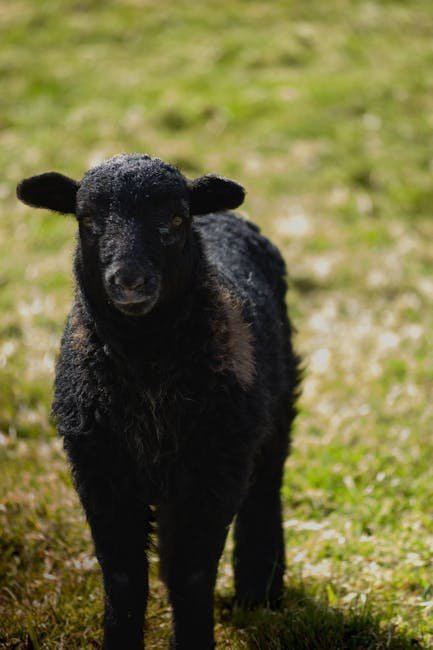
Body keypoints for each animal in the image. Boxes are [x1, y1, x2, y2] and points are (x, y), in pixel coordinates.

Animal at [17, 153, 301, 650]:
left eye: (176, 219)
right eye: (86, 220)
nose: (129, 281)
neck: (145, 358)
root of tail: (225, 216)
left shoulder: (212, 472)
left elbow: (191, 574)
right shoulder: (101, 471)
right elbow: (124, 576)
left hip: (270, 415)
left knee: (264, 494)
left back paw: (259, 595)